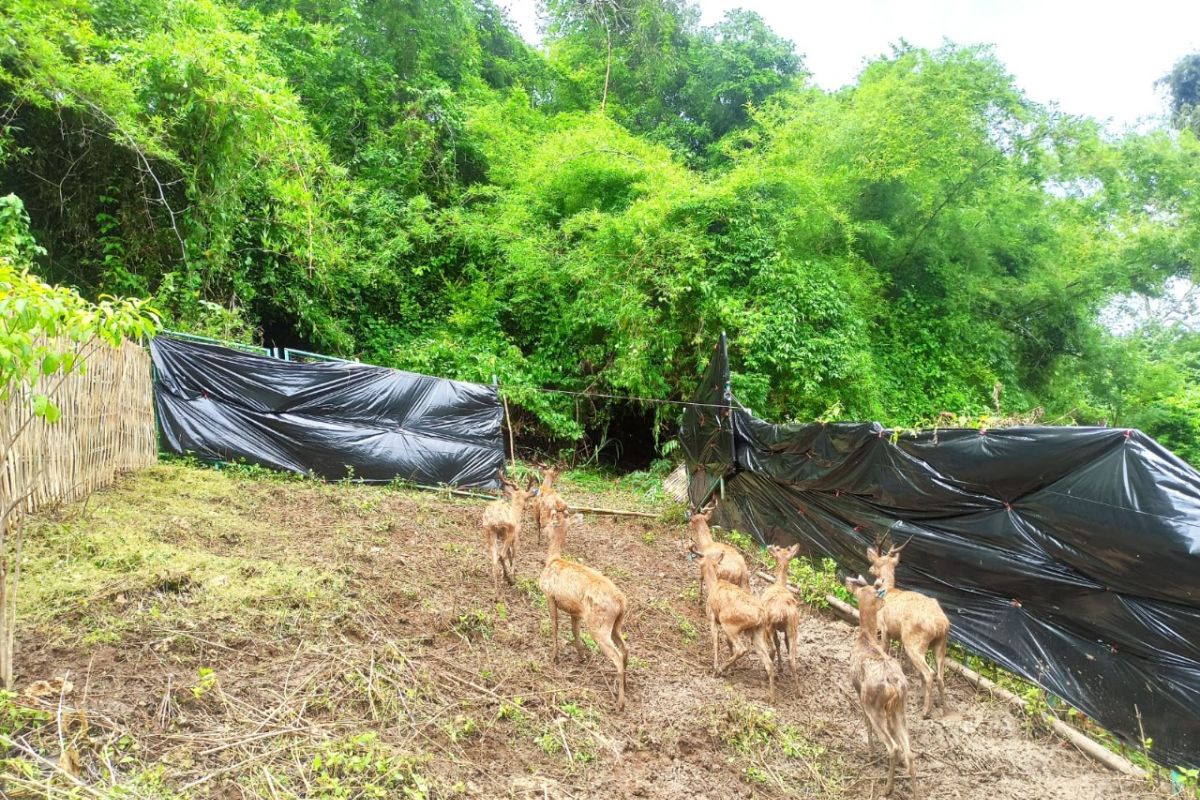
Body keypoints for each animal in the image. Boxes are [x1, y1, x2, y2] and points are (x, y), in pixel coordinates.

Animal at [537, 510, 628, 710]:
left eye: (550, 523)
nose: (543, 529)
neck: (553, 560)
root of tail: (621, 602)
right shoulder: (575, 610)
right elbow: (574, 631)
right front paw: (581, 656)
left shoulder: (549, 595)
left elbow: (554, 626)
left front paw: (554, 657)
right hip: (616, 624)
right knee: (625, 648)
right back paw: (625, 684)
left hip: (599, 625)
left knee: (617, 656)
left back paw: (619, 703)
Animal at [696, 551, 777, 700]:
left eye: (701, 564)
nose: (700, 576)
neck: (713, 585)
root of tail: (761, 614)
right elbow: (727, 643)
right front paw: (732, 668)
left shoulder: (712, 616)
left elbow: (716, 641)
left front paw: (716, 667)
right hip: (756, 632)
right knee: (768, 662)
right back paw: (771, 697)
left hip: (730, 623)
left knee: (742, 648)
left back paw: (720, 670)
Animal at [763, 542, 801, 681]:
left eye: (778, 548)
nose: (770, 546)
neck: (779, 584)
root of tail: (781, 613)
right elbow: (784, 644)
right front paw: (780, 668)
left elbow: (778, 644)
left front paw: (779, 668)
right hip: (792, 626)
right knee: (791, 657)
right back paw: (797, 685)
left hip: (768, 626)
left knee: (772, 649)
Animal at [844, 575, 916, 800]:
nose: (883, 604)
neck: (866, 636)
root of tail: (894, 686)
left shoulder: (858, 690)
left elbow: (865, 722)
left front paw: (870, 751)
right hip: (901, 707)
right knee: (909, 751)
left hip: (873, 704)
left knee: (892, 746)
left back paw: (887, 788)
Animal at [868, 537, 950, 719]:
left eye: (875, 562)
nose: (870, 569)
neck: (888, 591)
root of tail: (941, 625)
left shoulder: (884, 628)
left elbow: (884, 651)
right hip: (941, 644)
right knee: (940, 676)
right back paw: (944, 710)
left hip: (914, 642)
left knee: (929, 673)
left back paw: (926, 712)